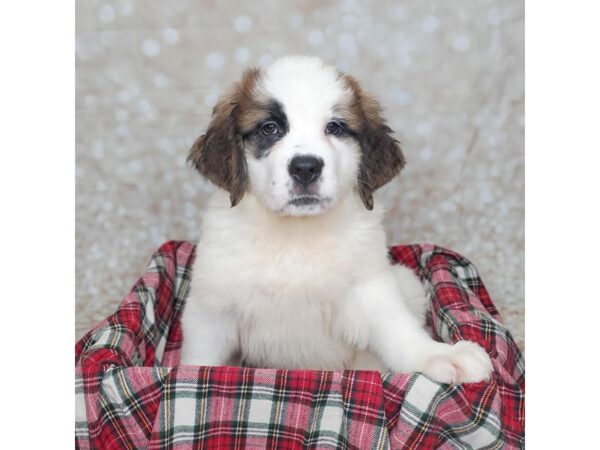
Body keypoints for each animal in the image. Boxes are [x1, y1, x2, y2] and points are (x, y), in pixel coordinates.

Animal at [183, 53, 492, 384]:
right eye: (269, 128)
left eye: (335, 127)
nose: (306, 168)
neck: (295, 234)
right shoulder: (211, 309)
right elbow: (199, 359)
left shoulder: (370, 288)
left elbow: (397, 329)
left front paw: (438, 355)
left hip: (407, 280)